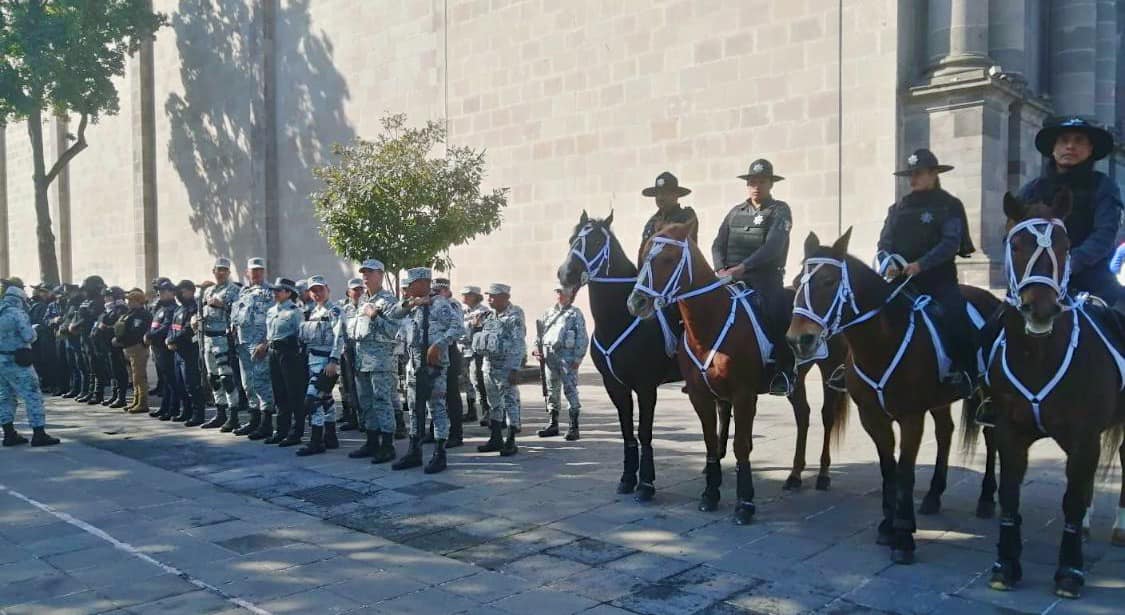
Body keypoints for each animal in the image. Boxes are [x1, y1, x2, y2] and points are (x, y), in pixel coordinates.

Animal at [625, 223, 846, 521]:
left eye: (669, 259)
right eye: (645, 256)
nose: (636, 303)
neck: (711, 324)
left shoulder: (743, 395)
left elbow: (741, 446)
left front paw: (745, 503)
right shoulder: (700, 395)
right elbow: (710, 441)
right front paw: (710, 494)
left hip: (832, 371)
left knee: (826, 416)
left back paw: (822, 474)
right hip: (796, 381)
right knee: (803, 415)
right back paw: (795, 475)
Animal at [783, 228, 1003, 566]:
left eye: (829, 281)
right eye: (796, 282)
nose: (799, 340)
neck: (881, 342)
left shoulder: (911, 417)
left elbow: (905, 471)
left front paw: (904, 537)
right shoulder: (872, 416)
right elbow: (889, 469)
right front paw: (888, 526)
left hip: (987, 393)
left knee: (990, 438)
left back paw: (986, 498)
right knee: (945, 432)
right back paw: (934, 495)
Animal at [967, 190, 1125, 598]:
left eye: (1065, 245)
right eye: (1015, 244)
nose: (1040, 309)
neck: (1038, 356)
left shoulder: (1084, 438)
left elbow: (1071, 501)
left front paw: (1069, 570)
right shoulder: (1010, 432)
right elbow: (1010, 495)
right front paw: (1006, 565)